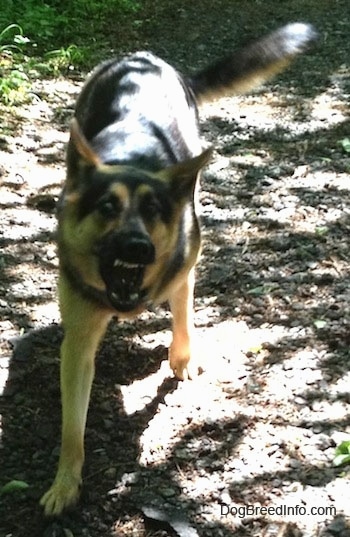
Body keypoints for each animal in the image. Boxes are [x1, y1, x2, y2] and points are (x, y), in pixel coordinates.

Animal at [41, 23, 318, 512]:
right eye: (107, 207)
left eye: (153, 210)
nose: (138, 247)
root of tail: (143, 56)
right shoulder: (78, 343)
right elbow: (72, 427)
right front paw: (65, 483)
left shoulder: (184, 264)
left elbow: (183, 311)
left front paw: (183, 358)